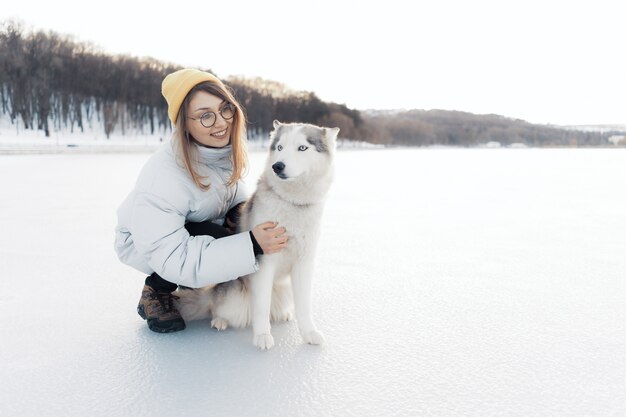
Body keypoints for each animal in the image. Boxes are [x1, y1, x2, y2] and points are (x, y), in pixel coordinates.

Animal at [176, 120, 338, 348]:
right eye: (280, 147)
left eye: (302, 148)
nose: (277, 166)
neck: (292, 203)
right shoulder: (265, 262)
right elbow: (261, 306)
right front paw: (262, 336)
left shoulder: (304, 264)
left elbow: (304, 306)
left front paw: (309, 333)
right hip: (233, 296)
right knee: (217, 307)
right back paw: (219, 319)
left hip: (285, 290)